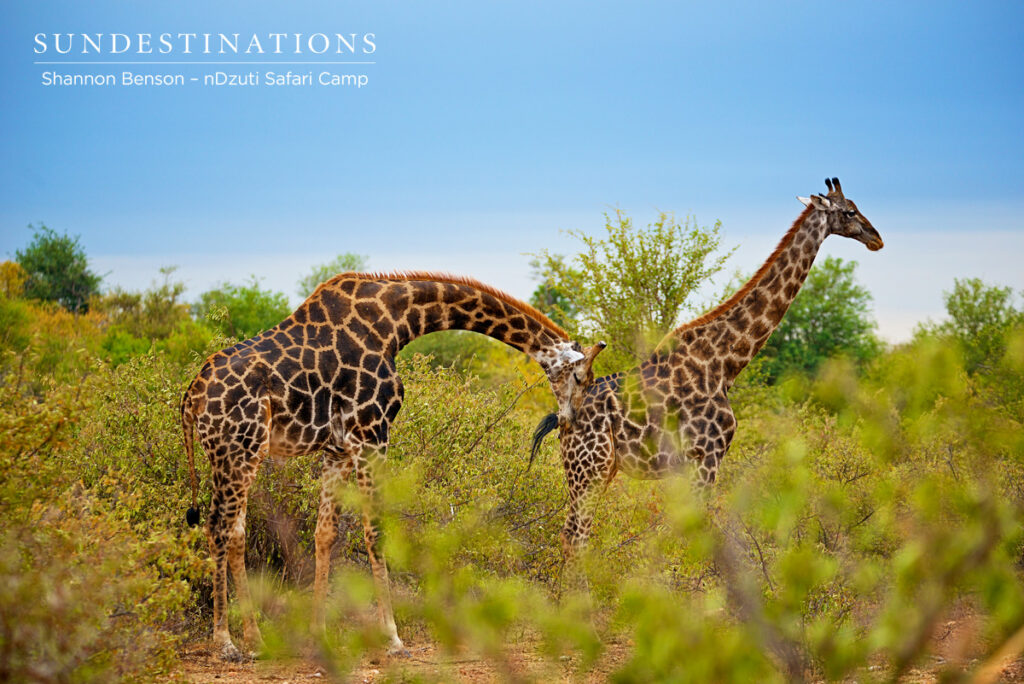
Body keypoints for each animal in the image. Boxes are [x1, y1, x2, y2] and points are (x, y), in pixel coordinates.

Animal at [181, 271, 601, 661]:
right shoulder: (372, 431)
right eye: (581, 376)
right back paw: (227, 642)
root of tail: (190, 398)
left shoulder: (338, 446)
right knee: (220, 527)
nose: (570, 421)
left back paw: (253, 639)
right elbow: (376, 530)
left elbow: (325, 533)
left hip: (233, 454)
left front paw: (319, 634)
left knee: (232, 530)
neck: (397, 322)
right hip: (238, 449)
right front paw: (393, 638)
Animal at [532, 178, 883, 558]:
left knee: (572, 534)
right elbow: (692, 543)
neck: (725, 362)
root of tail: (563, 417)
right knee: (576, 537)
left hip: (597, 468)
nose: (877, 238)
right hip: (590, 467)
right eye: (850, 211)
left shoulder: (688, 467)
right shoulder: (706, 458)